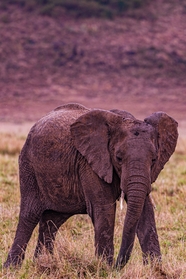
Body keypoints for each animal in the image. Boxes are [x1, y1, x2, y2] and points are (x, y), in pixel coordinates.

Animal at [3, 103, 178, 270]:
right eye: (118, 158)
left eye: (154, 159)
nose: (118, 265)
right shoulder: (89, 162)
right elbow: (104, 209)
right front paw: (105, 270)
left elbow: (145, 210)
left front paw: (156, 270)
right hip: (28, 166)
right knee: (29, 215)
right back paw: (12, 268)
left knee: (52, 220)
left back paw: (42, 263)